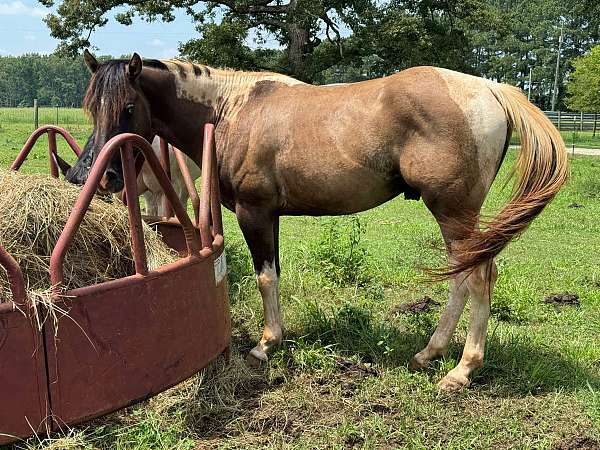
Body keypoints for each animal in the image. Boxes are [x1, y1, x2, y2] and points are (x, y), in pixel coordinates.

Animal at [69, 50, 568, 390]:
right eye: (92, 108)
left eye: (128, 108)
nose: (93, 175)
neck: (233, 109)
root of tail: (489, 89)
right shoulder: (271, 215)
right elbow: (274, 273)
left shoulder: (254, 212)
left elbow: (265, 276)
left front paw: (265, 345)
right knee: (463, 278)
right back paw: (429, 353)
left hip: (454, 211)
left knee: (479, 277)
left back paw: (462, 370)